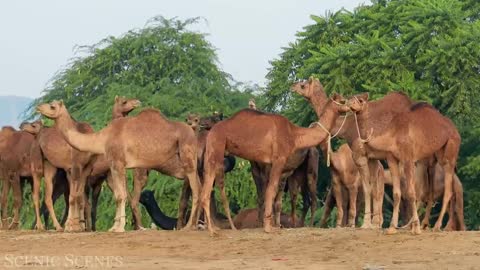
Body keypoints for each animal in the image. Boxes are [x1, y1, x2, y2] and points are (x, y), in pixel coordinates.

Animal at [348, 95, 462, 234]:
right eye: (350, 98)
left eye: (360, 100)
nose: (350, 104)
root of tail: (455, 130)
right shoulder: (392, 159)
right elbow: (397, 193)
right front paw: (392, 228)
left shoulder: (408, 159)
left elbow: (411, 193)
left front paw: (416, 228)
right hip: (433, 158)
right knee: (431, 190)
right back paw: (422, 224)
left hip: (450, 151)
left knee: (447, 190)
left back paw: (436, 226)